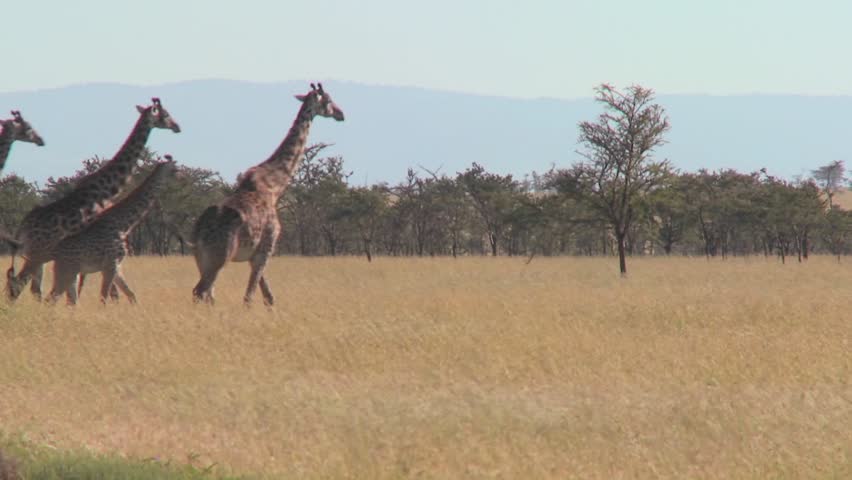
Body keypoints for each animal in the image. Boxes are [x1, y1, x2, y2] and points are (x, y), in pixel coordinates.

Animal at [48, 159, 177, 305]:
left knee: (68, 300)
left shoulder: (117, 267)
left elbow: (131, 295)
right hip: (67, 271)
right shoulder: (110, 265)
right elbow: (104, 298)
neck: (123, 224)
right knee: (52, 298)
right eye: (173, 166)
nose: (178, 173)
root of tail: (55, 252)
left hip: (72, 274)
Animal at [191, 83, 344, 305]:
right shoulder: (266, 249)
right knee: (201, 291)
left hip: (200, 257)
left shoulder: (255, 254)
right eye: (329, 100)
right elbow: (249, 297)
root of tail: (200, 229)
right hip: (219, 256)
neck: (274, 186)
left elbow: (269, 297)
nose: (341, 114)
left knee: (207, 294)